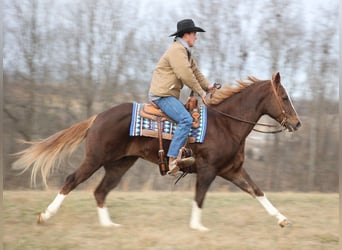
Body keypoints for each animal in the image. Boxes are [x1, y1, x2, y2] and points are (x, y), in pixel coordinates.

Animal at [12, 73, 302, 232]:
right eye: (284, 97)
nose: (297, 123)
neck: (225, 124)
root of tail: (98, 117)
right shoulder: (207, 170)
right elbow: (200, 197)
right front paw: (197, 226)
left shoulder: (232, 170)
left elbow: (257, 191)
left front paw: (282, 219)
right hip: (94, 159)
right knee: (72, 180)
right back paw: (45, 215)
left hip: (120, 164)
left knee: (100, 191)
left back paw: (108, 225)